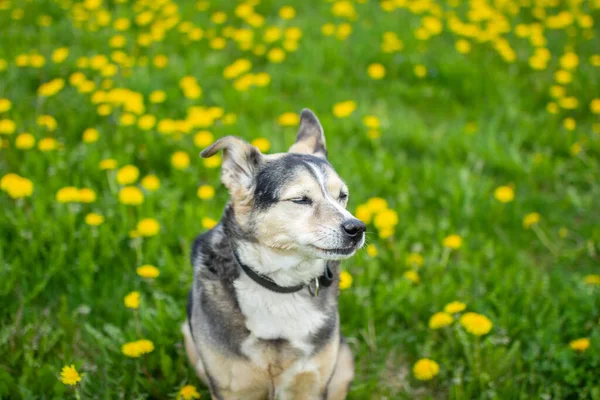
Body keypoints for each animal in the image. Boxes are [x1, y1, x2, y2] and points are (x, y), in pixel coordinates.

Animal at [183, 109, 366, 400]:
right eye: (300, 199)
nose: (357, 228)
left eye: (342, 196)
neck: (281, 284)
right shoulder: (231, 388)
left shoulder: (311, 385)